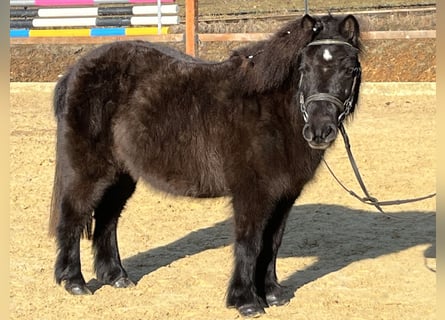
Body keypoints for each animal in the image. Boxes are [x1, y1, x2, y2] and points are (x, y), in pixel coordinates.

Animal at [49, 14, 360, 318]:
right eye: (304, 68)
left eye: (349, 70)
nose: (319, 131)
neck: (271, 111)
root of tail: (77, 70)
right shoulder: (252, 193)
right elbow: (250, 242)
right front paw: (246, 301)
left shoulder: (283, 196)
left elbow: (272, 243)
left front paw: (273, 293)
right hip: (88, 171)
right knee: (73, 215)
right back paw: (74, 282)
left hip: (121, 175)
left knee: (107, 219)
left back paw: (115, 276)